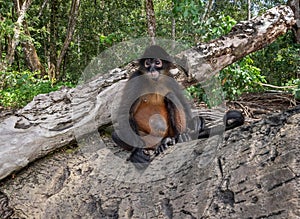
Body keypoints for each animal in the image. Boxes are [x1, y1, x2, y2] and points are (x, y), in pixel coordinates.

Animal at [112, 44, 244, 168]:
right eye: (147, 63)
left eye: (157, 63)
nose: (152, 69)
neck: (155, 81)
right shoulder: (135, 77)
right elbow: (125, 113)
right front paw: (136, 152)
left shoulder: (170, 78)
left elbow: (181, 100)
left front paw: (196, 122)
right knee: (116, 134)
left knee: (171, 96)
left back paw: (177, 138)